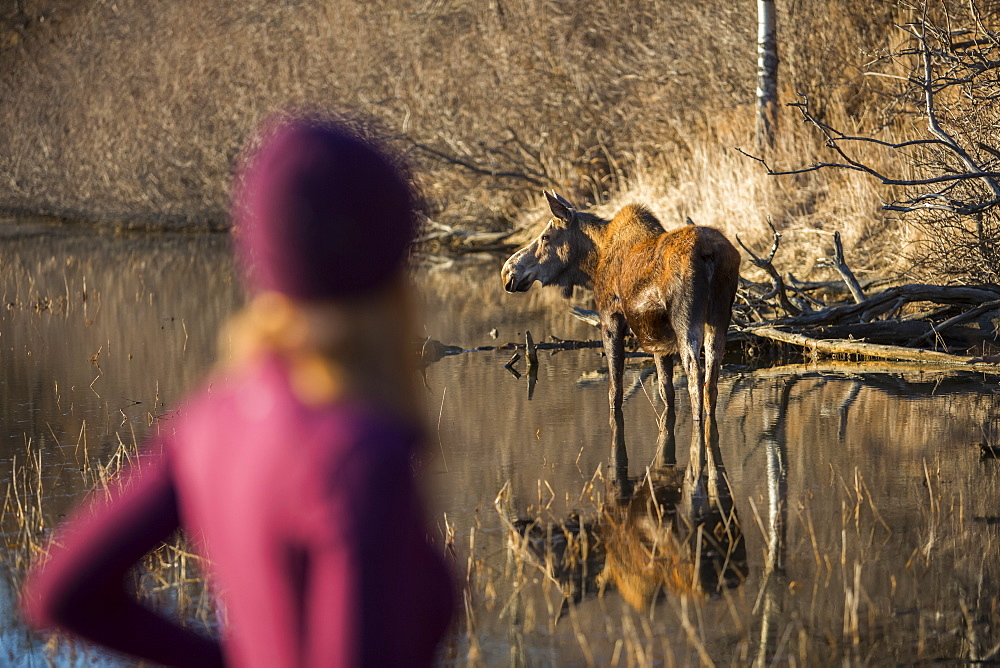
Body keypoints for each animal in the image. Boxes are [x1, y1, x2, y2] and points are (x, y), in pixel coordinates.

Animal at [504, 193, 740, 462]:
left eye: (545, 236)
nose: (508, 271)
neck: (592, 264)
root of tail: (711, 254)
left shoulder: (610, 315)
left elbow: (615, 388)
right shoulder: (658, 340)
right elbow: (666, 390)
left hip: (686, 319)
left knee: (695, 377)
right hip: (720, 316)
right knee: (711, 380)